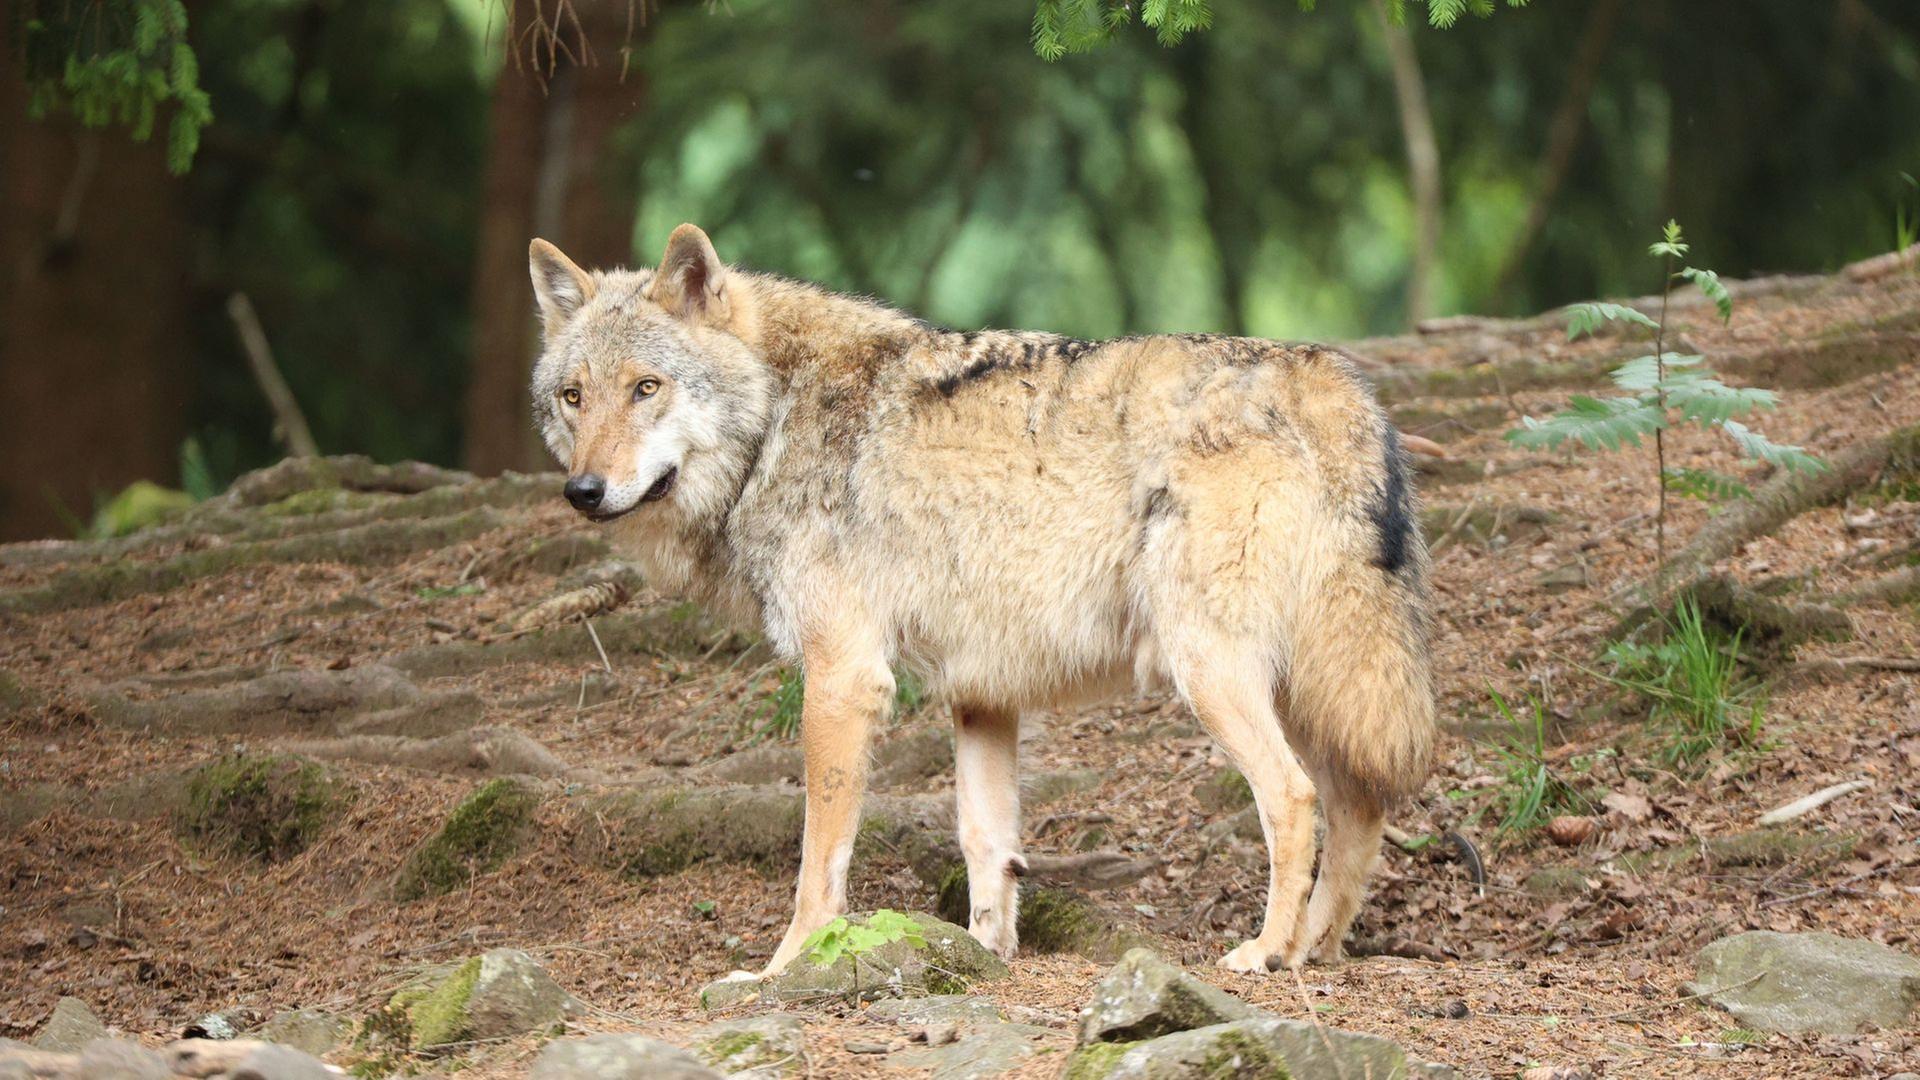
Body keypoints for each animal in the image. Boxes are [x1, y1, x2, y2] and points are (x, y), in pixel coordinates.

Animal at [527, 224, 1436, 975]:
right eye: (574, 396)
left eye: (646, 388)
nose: (583, 491)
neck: (777, 416)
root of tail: (1331, 382)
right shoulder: (982, 693)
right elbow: (985, 841)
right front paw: (983, 954)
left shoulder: (844, 679)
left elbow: (819, 856)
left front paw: (785, 969)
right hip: (1310, 684)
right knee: (1358, 805)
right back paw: (1315, 946)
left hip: (1214, 673)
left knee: (1295, 798)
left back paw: (1267, 952)